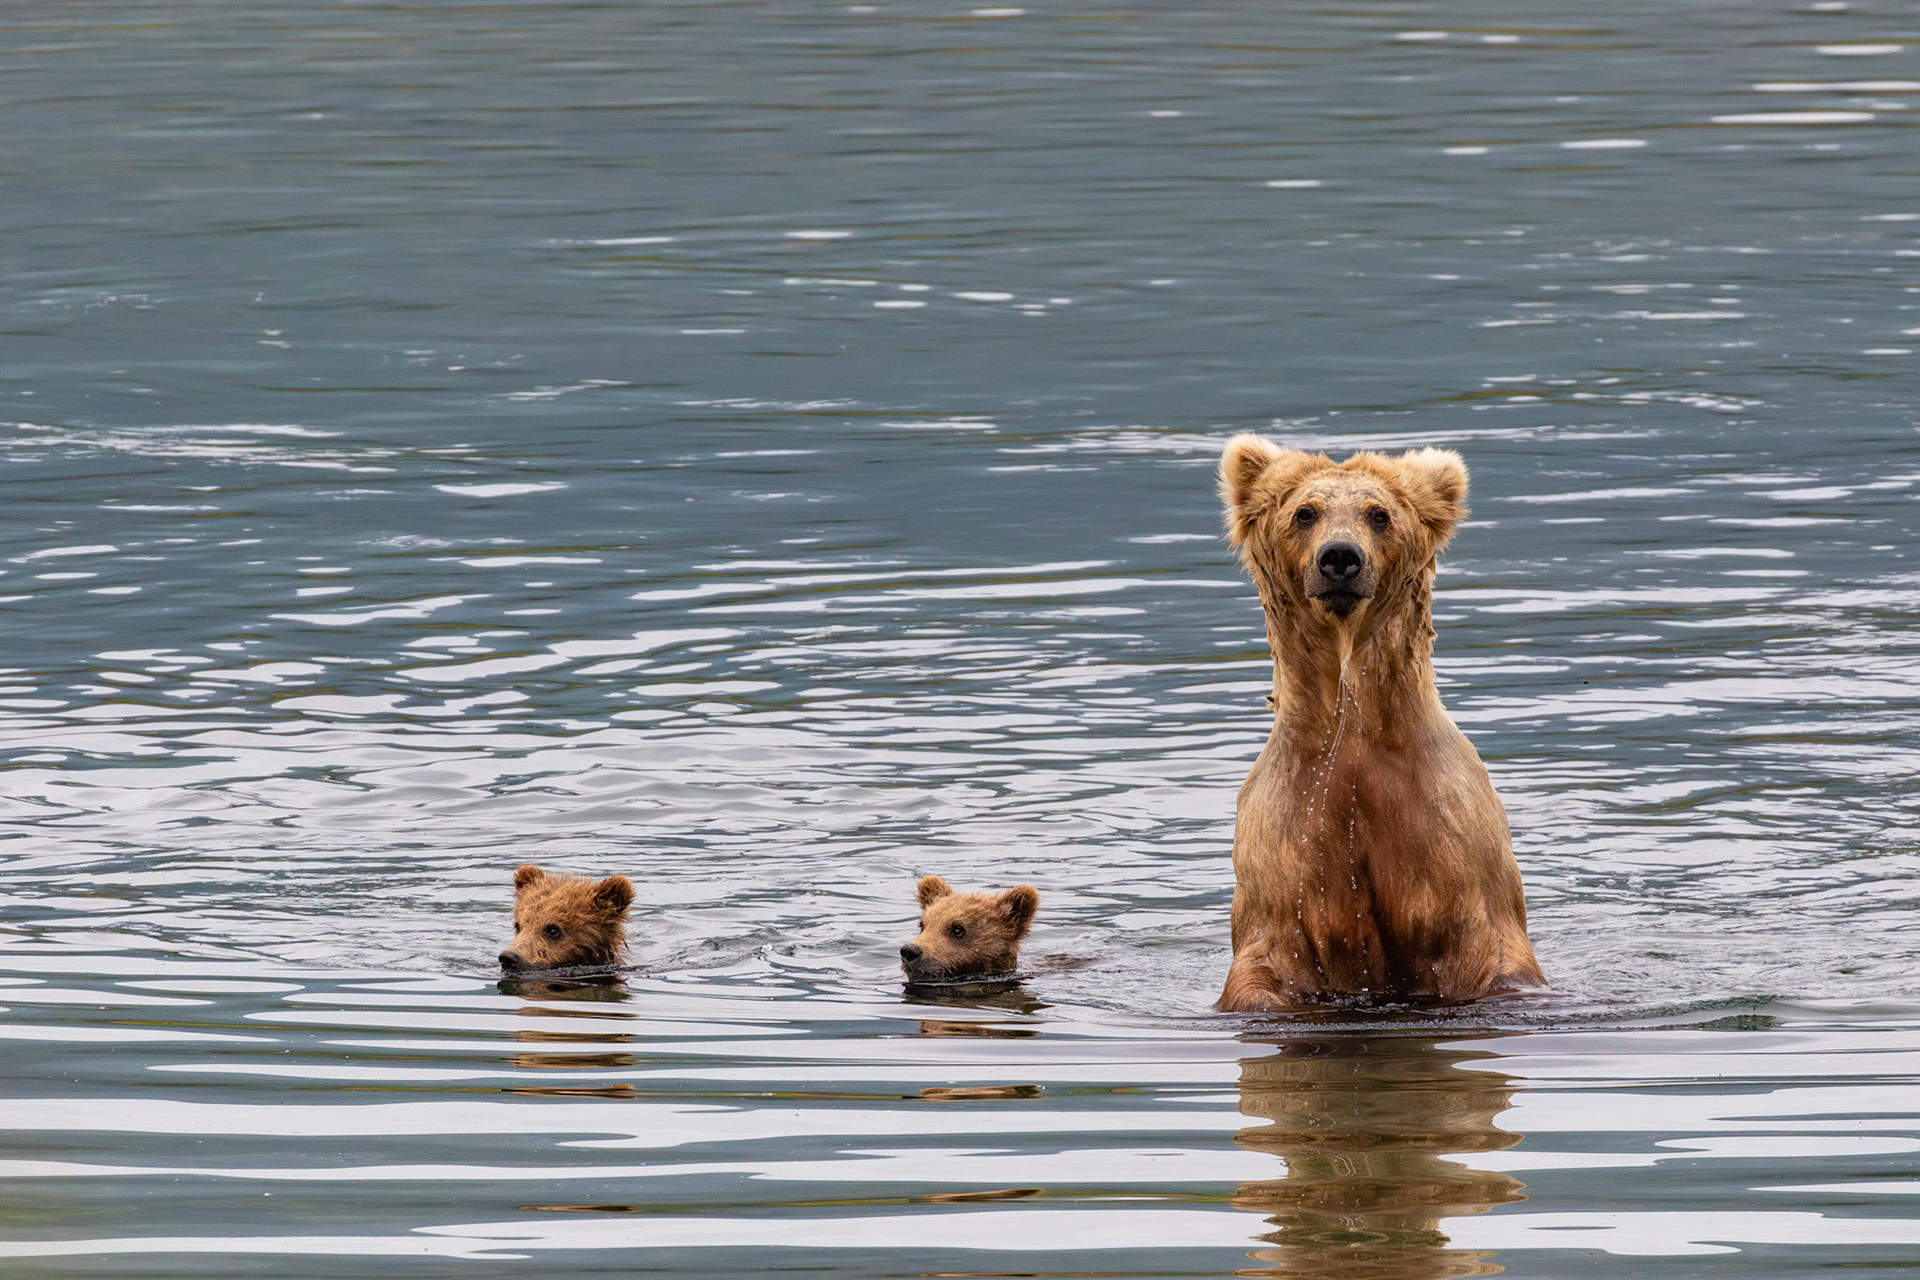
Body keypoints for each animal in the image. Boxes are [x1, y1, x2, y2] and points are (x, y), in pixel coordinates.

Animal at [1214, 433, 1544, 1011]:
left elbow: (1490, 947)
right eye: (1305, 512)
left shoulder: (1445, 829)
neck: (1352, 728)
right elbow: (1267, 958)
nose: (1340, 557)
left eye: (1379, 514)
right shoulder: (1287, 838)